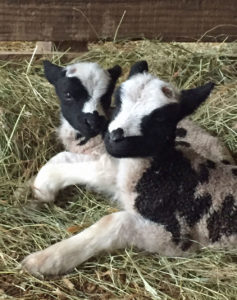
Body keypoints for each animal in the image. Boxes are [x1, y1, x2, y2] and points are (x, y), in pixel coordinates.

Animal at [22, 61, 237, 276]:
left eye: (161, 118)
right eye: (118, 100)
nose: (114, 136)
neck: (165, 173)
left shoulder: (175, 235)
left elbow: (115, 222)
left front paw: (45, 260)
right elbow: (68, 160)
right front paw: (40, 188)